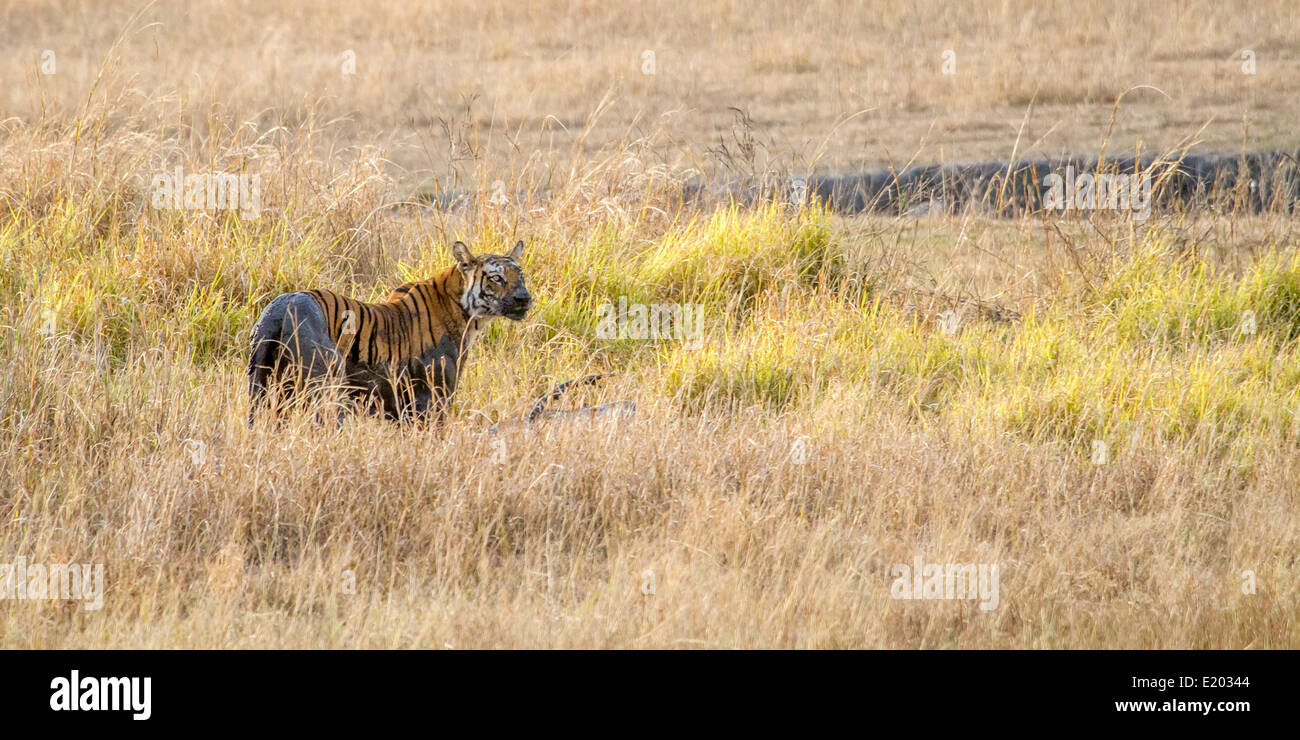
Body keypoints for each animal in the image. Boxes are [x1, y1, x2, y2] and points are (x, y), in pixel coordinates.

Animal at [245, 236, 530, 421]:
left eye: (521, 276)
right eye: (496, 278)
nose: (524, 298)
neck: (467, 315)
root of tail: (278, 308)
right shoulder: (433, 400)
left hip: (262, 387)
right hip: (328, 384)